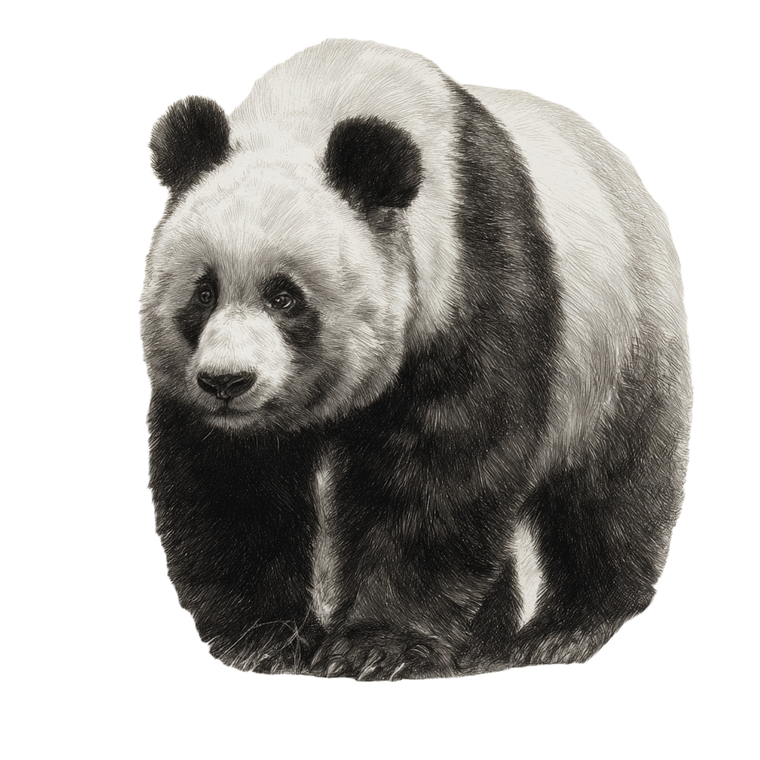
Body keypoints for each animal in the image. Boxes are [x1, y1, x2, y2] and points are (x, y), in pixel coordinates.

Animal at [138, 36, 694, 682]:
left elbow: (443, 463)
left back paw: (566, 632)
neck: (330, 98)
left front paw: (378, 647)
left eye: (285, 297)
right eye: (203, 292)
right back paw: (485, 635)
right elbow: (231, 481)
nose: (227, 381)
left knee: (611, 490)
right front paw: (265, 640)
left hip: (621, 342)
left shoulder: (473, 269)